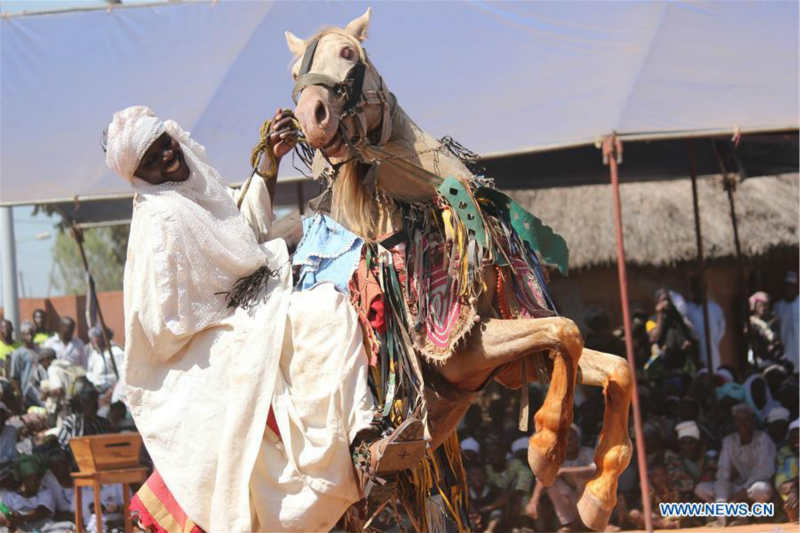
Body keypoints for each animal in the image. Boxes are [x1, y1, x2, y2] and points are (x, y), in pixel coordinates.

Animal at [284, 10, 636, 528]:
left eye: (348, 53)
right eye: (295, 73)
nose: (313, 116)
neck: (438, 212)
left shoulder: (512, 353)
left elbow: (611, 366)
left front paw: (598, 494)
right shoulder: (462, 354)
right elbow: (566, 333)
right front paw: (547, 446)